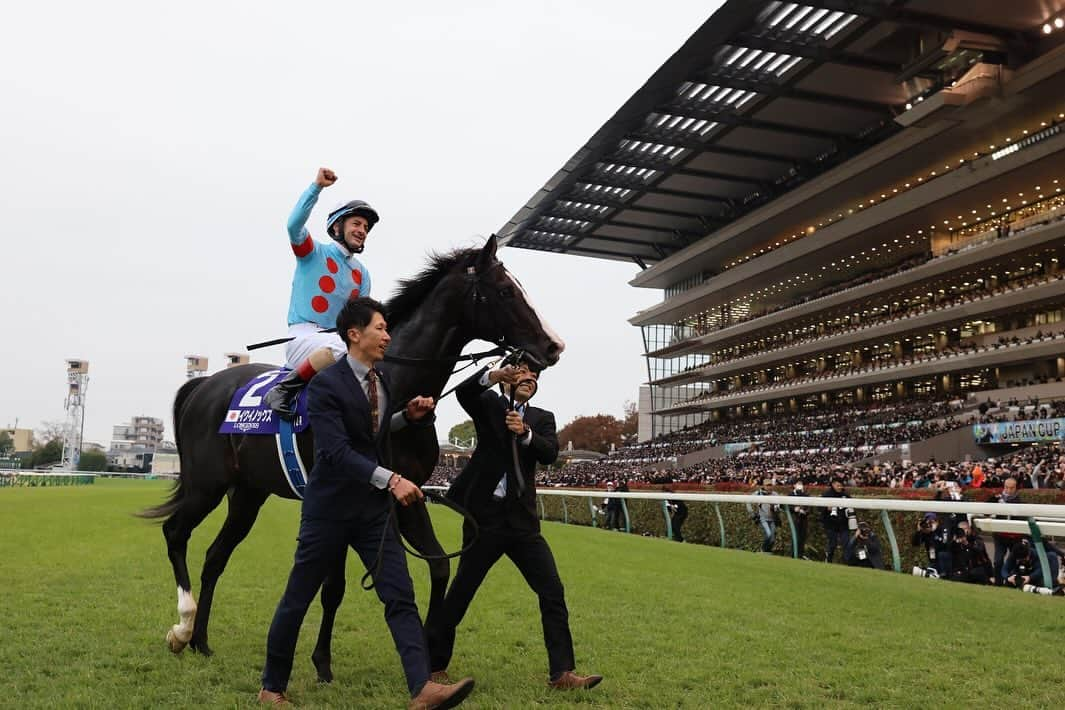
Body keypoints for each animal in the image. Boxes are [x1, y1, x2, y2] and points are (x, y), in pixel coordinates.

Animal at [141, 236, 566, 681]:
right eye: (505, 291)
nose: (553, 345)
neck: (394, 386)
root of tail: (205, 384)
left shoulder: (407, 495)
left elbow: (439, 566)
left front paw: (431, 653)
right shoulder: (346, 497)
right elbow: (334, 588)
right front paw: (322, 662)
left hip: (248, 494)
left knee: (214, 557)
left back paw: (201, 641)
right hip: (207, 484)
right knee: (175, 532)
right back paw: (182, 628)